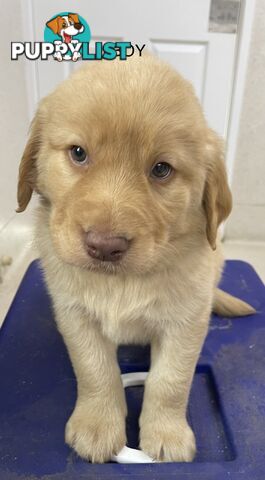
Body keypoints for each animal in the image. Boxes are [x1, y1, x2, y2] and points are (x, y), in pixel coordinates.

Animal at [16, 54, 254, 464]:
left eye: (161, 169)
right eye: (78, 153)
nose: (104, 246)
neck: (122, 282)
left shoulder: (186, 321)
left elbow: (171, 380)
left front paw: (167, 435)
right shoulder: (74, 313)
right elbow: (95, 370)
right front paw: (97, 426)